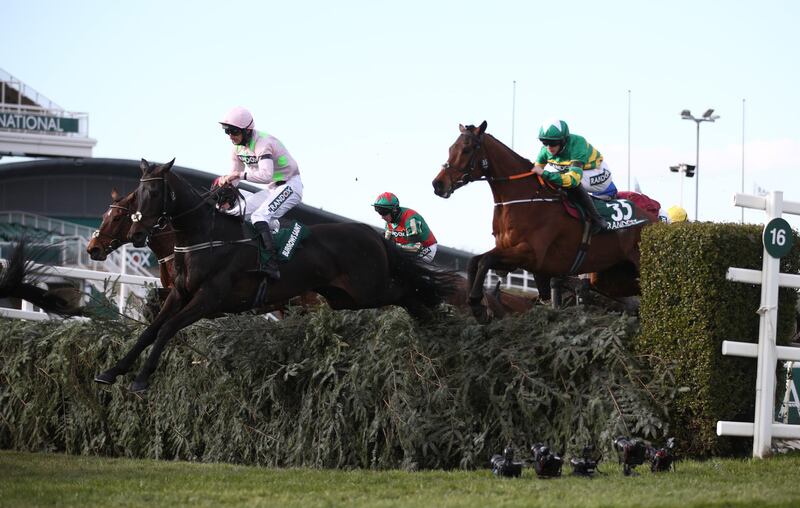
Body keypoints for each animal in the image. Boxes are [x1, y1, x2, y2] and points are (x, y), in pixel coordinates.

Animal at [94, 159, 460, 392]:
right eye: (137, 196)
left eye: (153, 194)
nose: (93, 249)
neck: (202, 237)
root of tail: (370, 233)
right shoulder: (179, 294)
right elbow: (151, 329)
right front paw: (112, 371)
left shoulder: (209, 299)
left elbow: (168, 328)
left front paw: (141, 380)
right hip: (344, 298)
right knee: (408, 293)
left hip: (369, 288)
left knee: (408, 292)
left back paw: (435, 325)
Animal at [434, 120, 652, 318]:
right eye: (451, 148)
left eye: (467, 149)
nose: (438, 184)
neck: (523, 199)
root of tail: (651, 217)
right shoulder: (510, 255)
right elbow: (475, 261)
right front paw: (477, 304)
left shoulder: (530, 253)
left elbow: (485, 260)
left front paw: (476, 303)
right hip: (611, 277)